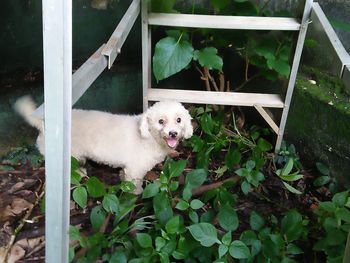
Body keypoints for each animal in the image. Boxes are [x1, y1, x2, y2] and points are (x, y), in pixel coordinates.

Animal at [15, 97, 193, 194]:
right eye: (161, 121)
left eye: (179, 120)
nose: (173, 133)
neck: (148, 137)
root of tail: (44, 124)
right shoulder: (135, 169)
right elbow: (134, 184)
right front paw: (136, 193)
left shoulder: (129, 167)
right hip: (71, 156)